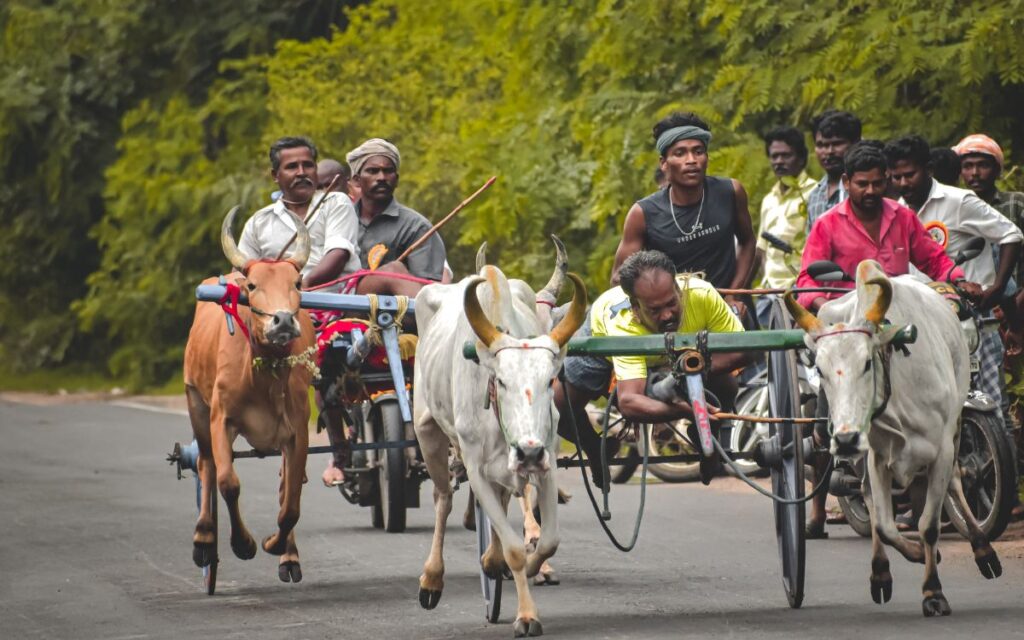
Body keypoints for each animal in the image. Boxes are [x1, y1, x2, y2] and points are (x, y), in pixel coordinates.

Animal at [790, 258, 999, 614]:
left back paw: (983, 550)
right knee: (867, 499)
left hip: (955, 427)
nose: (844, 439)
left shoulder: (942, 451)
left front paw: (933, 592)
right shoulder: (876, 457)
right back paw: (881, 572)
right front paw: (907, 565)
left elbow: (929, 524)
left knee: (956, 483)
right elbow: (884, 525)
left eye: (866, 363)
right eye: (820, 369)